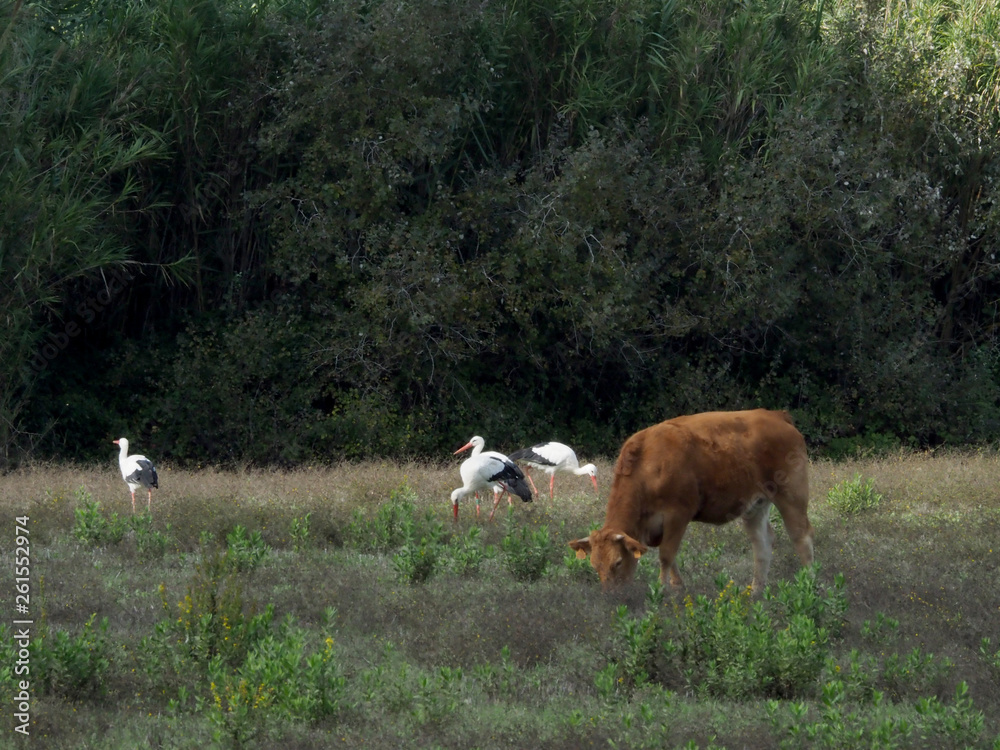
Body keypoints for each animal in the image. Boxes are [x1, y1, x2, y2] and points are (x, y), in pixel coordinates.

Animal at [568, 409, 814, 593]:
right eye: (594, 565)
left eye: (618, 562)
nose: (612, 596)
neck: (648, 465)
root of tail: (776, 415)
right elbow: (671, 557)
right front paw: (677, 588)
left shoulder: (678, 515)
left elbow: (666, 555)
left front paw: (663, 592)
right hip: (756, 506)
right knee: (762, 544)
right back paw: (756, 593)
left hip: (791, 495)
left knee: (801, 537)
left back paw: (808, 585)